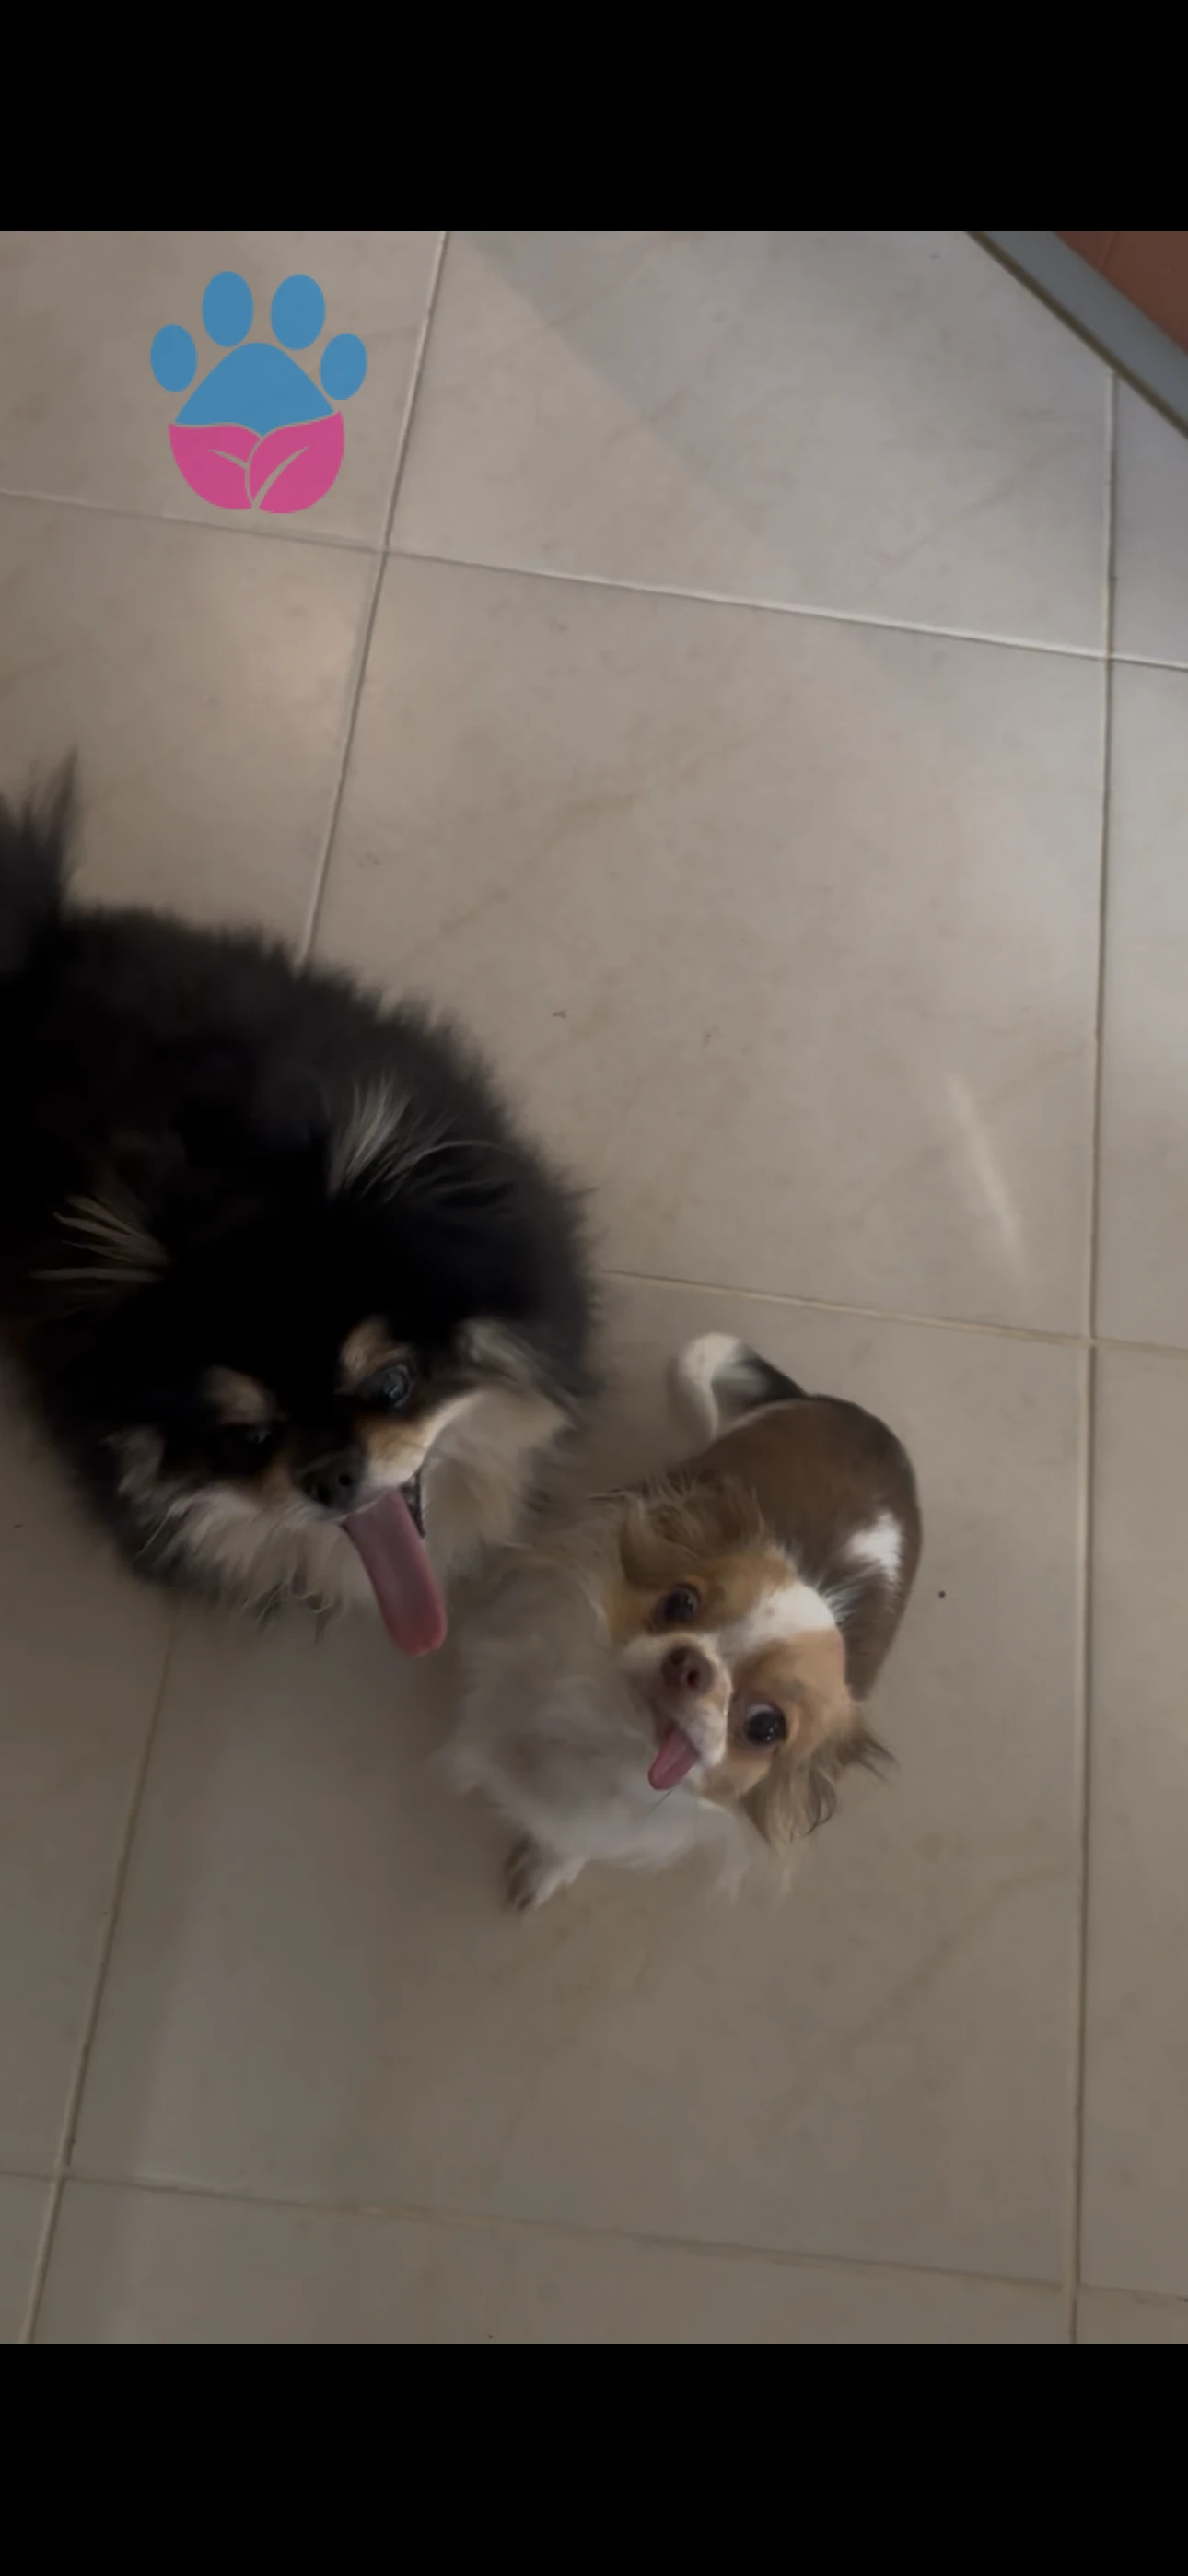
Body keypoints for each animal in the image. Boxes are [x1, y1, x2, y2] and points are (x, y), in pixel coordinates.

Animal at [450, 1332, 921, 1906]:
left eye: (765, 1727)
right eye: (681, 1603)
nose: (691, 1664)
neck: (607, 1735)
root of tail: (861, 1419)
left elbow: (571, 1838)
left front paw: (546, 1866)